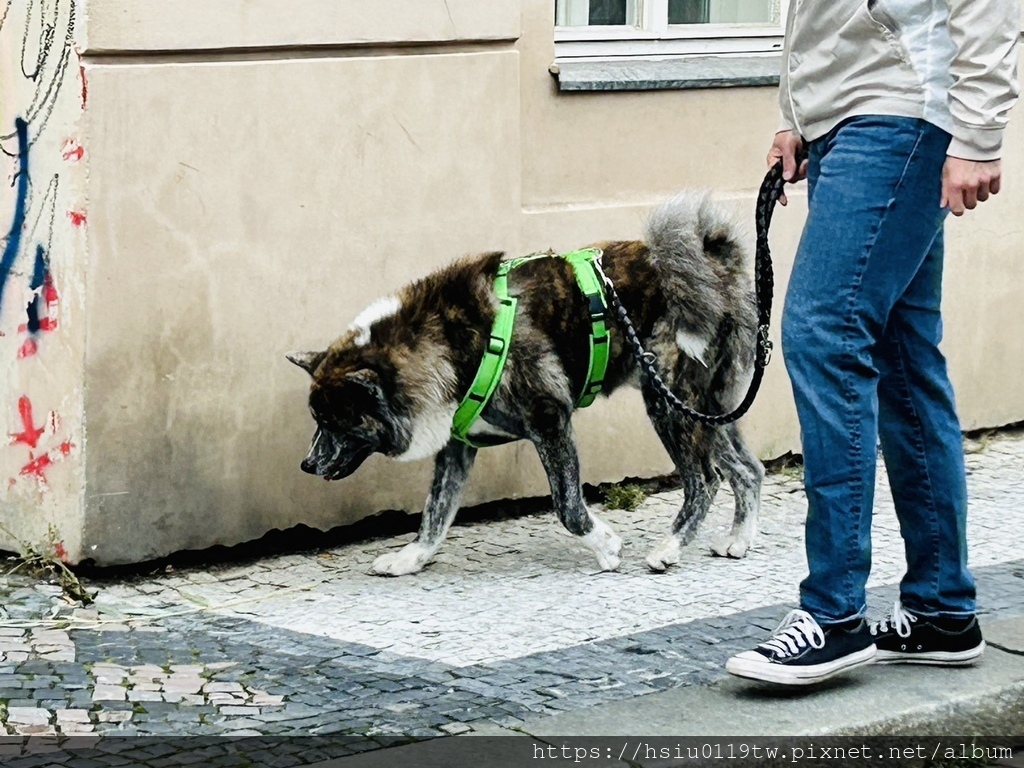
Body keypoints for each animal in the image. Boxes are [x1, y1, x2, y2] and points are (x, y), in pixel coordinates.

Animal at [286, 192, 761, 577]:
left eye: (336, 421)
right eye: (317, 419)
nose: (306, 465)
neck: (448, 342)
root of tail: (715, 265)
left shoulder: (551, 422)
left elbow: (567, 505)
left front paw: (606, 546)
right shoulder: (457, 447)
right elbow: (434, 514)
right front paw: (411, 558)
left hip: (668, 404)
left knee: (705, 480)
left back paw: (670, 548)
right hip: (707, 410)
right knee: (747, 470)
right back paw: (739, 539)